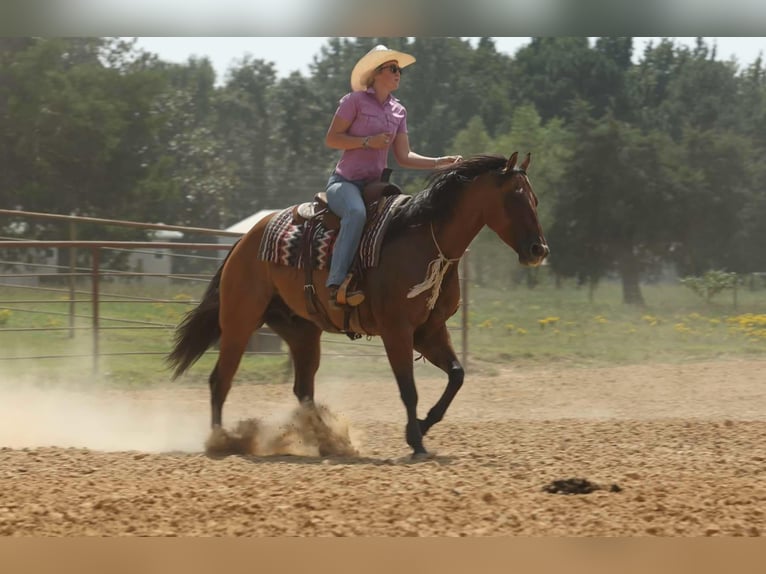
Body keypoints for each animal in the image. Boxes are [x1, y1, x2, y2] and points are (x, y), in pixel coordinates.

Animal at [167, 152, 549, 457]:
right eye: (514, 197)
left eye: (535, 198)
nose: (538, 250)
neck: (424, 240)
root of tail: (244, 241)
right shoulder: (396, 331)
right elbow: (408, 390)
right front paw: (416, 442)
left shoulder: (429, 330)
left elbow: (457, 375)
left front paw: (421, 427)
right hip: (239, 321)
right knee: (221, 380)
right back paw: (222, 441)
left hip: (301, 331)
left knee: (303, 390)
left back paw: (328, 441)